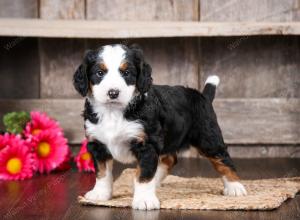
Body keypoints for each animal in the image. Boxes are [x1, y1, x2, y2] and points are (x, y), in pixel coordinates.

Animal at [72, 43, 246, 211]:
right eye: (100, 73)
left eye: (126, 73)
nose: (113, 93)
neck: (113, 112)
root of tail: (202, 95)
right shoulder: (97, 144)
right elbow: (102, 173)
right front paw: (100, 194)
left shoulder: (147, 144)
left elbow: (144, 174)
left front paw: (144, 200)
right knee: (169, 159)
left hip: (207, 137)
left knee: (222, 158)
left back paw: (235, 187)